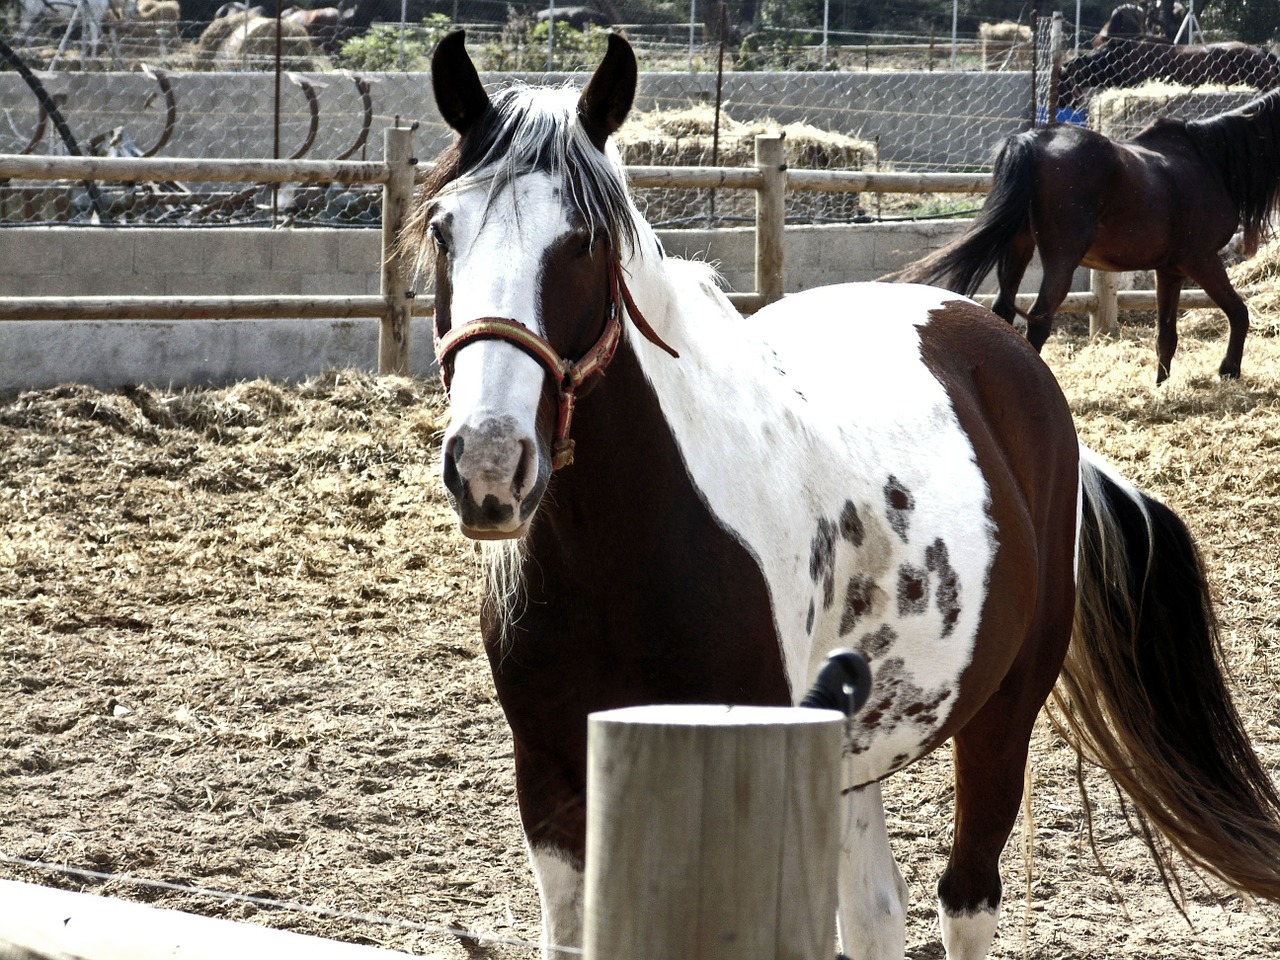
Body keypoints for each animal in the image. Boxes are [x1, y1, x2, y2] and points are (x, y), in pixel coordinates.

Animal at [896, 88, 1280, 386]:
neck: (1209, 160)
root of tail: (1034, 140)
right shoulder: (1200, 259)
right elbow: (1238, 311)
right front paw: (1229, 370)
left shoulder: (1169, 269)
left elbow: (1166, 334)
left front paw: (1161, 385)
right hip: (1061, 259)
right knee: (1039, 319)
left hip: (1019, 248)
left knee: (1004, 311)